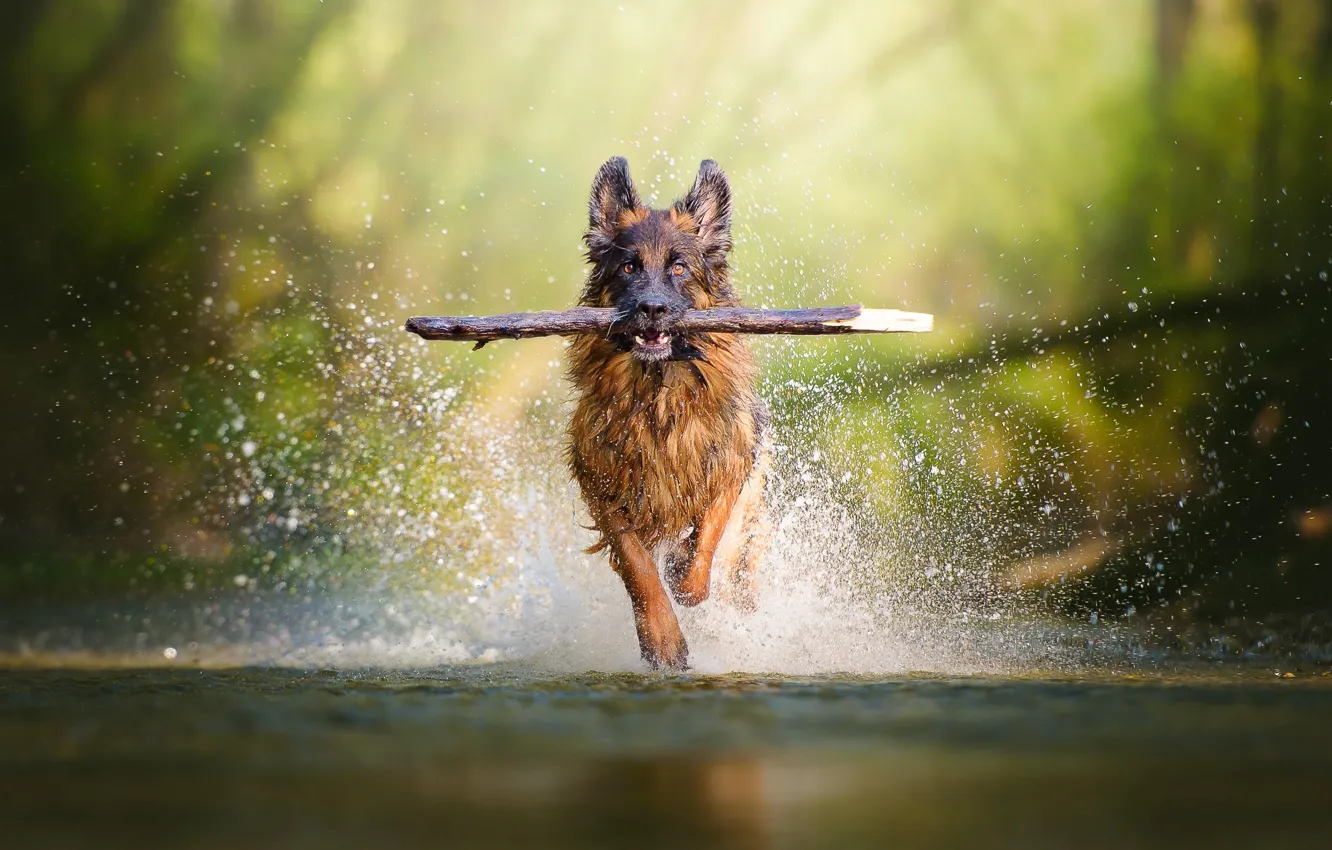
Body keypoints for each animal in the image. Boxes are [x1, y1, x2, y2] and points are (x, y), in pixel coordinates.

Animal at [562, 156, 772, 668]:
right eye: (628, 266)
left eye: (678, 267)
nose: (652, 309)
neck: (658, 395)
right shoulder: (600, 478)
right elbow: (637, 564)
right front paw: (661, 638)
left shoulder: (732, 460)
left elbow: (711, 534)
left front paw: (685, 575)